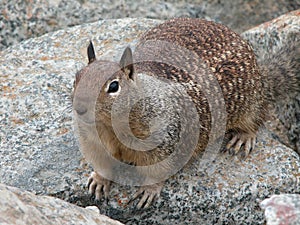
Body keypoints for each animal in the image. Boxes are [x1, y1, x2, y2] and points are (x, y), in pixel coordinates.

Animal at [72, 17, 300, 209]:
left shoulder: (165, 142)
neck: (111, 127)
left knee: (258, 116)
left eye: (113, 86)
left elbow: (158, 171)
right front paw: (98, 180)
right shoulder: (94, 143)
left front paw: (148, 190)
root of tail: (261, 74)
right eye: (77, 76)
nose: (80, 108)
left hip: (249, 102)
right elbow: (102, 164)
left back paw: (243, 138)